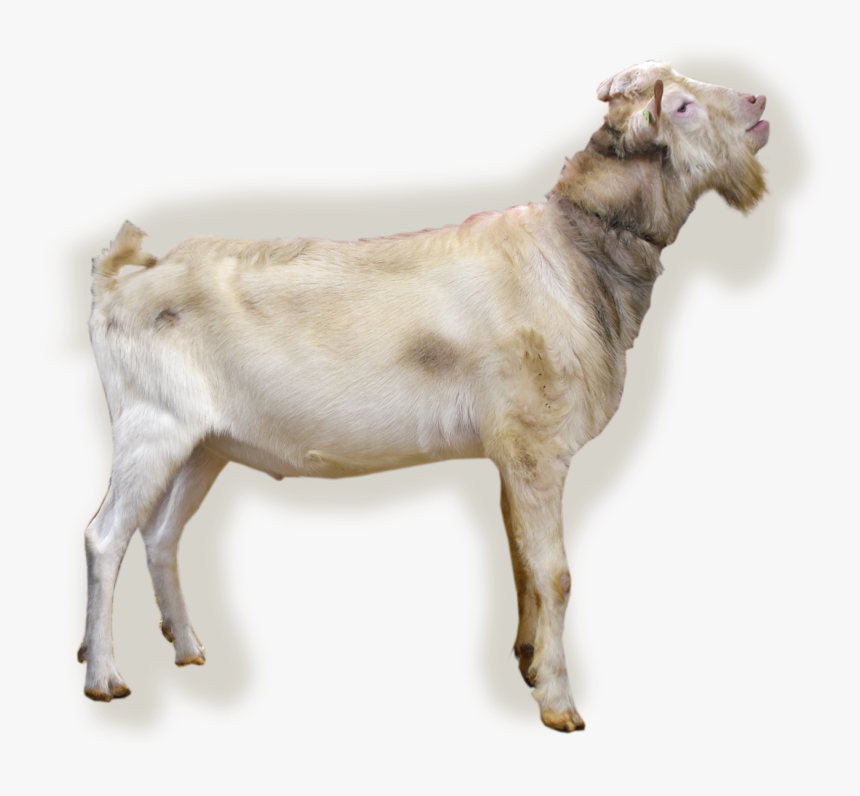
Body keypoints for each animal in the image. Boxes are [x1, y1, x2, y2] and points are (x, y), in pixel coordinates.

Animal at [79, 62, 769, 732]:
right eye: (681, 105)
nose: (760, 102)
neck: (573, 256)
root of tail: (122, 282)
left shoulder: (510, 453)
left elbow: (521, 562)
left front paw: (526, 663)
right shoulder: (537, 445)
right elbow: (554, 574)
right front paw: (559, 705)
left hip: (204, 444)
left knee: (160, 535)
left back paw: (186, 647)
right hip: (152, 424)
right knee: (105, 536)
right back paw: (104, 678)